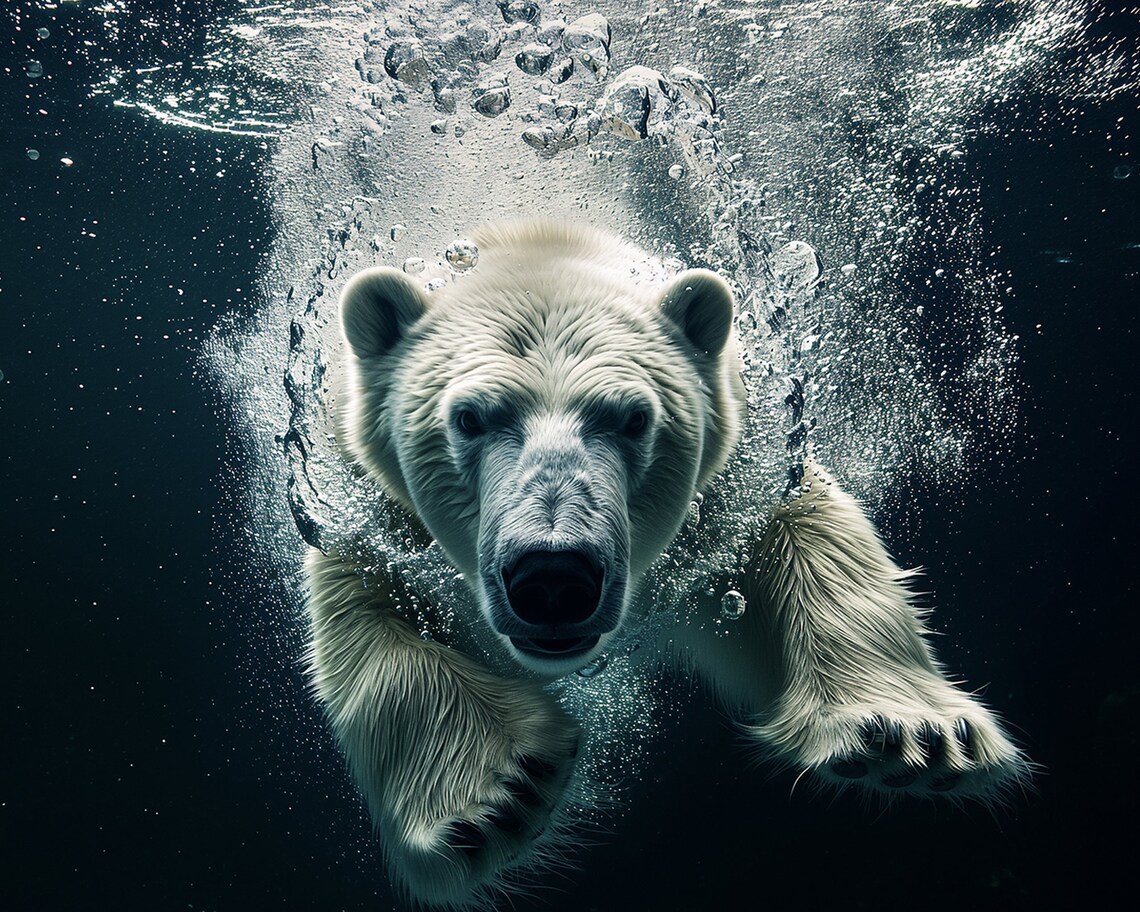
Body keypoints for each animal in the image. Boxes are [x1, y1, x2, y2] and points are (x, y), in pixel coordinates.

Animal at [305, 220, 1029, 907]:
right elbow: (368, 626)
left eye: (632, 418)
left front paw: (913, 736)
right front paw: (496, 796)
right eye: (469, 418)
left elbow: (811, 539)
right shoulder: (357, 508)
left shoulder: (740, 473)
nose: (554, 579)